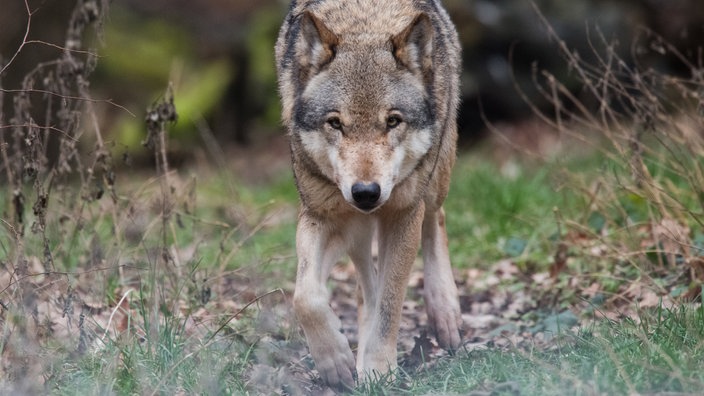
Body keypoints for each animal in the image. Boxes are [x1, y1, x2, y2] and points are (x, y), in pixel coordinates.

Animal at [276, 0, 462, 388]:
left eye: (393, 121)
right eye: (335, 123)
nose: (365, 193)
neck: (365, 23)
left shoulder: (403, 214)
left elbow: (390, 305)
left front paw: (377, 368)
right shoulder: (323, 215)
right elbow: (305, 297)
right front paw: (335, 361)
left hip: (434, 179)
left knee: (436, 218)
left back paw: (445, 313)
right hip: (356, 229)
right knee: (365, 284)